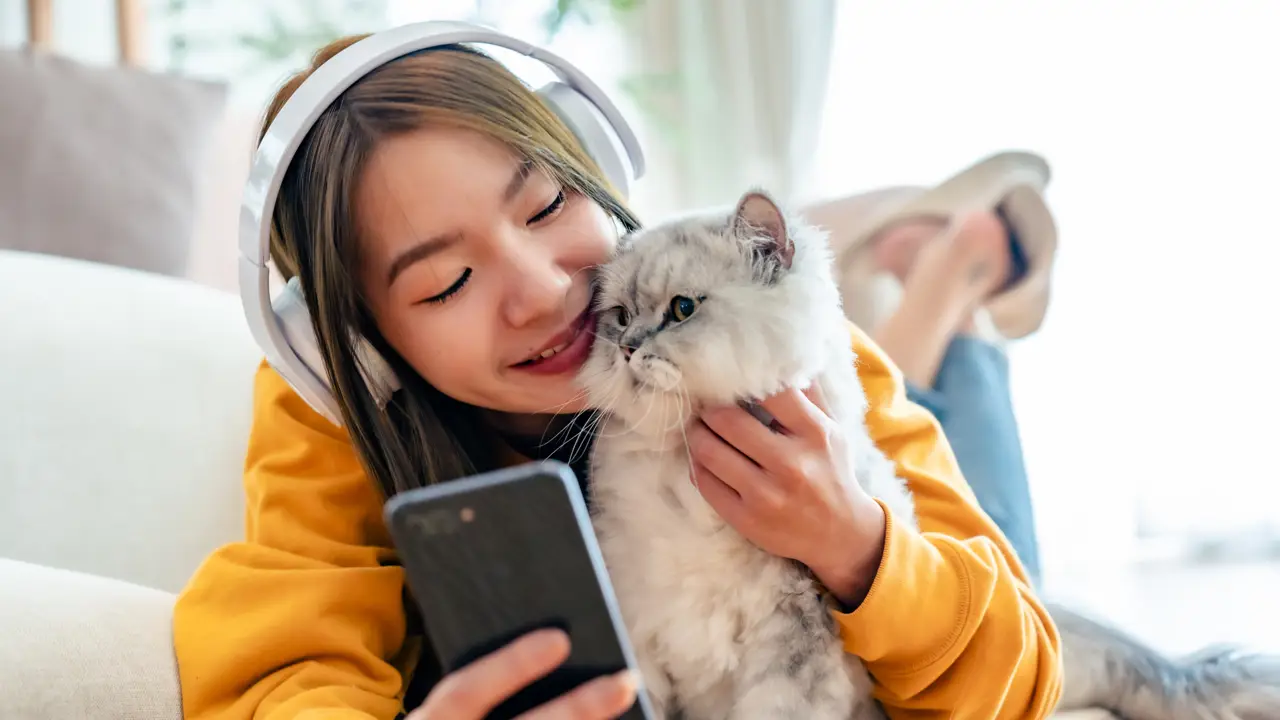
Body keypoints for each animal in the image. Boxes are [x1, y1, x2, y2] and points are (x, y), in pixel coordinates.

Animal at [578, 188, 1280, 712]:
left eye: (682, 310)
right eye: (619, 318)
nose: (628, 350)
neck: (679, 469)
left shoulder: (795, 651)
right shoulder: (642, 640)